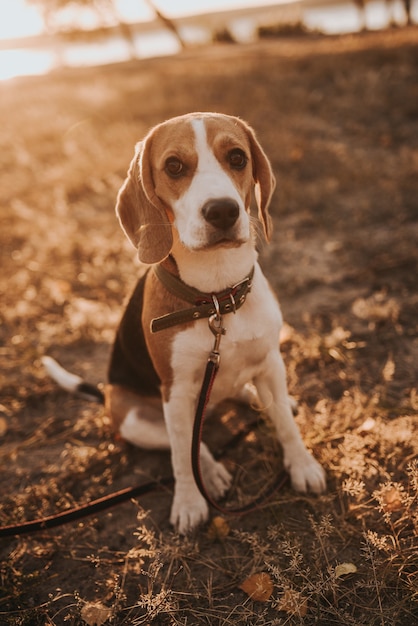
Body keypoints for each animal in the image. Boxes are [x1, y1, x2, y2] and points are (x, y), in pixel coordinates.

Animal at [44, 113, 324, 532]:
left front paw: (302, 466)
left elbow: (286, 428)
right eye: (174, 166)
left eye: (238, 157)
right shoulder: (174, 392)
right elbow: (181, 455)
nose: (222, 211)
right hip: (136, 419)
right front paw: (190, 502)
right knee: (190, 443)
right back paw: (211, 471)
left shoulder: (271, 362)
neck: (218, 298)